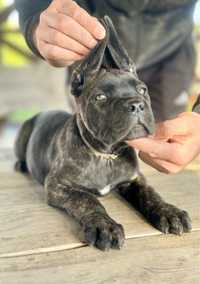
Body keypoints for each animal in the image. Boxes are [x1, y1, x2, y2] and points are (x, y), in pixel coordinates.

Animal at [15, 16, 191, 251]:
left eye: (142, 90)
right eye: (100, 97)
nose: (136, 104)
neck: (106, 155)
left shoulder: (135, 179)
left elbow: (150, 194)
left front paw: (169, 211)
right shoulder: (58, 185)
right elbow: (88, 200)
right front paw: (104, 226)